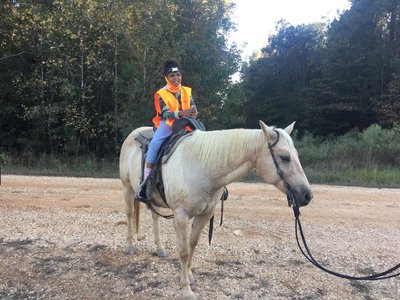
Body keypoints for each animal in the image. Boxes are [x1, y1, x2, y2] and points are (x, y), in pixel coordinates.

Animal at [119, 120, 312, 300]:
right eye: (285, 157)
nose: (307, 195)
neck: (202, 167)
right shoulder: (181, 216)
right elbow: (183, 251)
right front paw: (186, 290)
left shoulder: (205, 214)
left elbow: (193, 244)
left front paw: (189, 275)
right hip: (127, 189)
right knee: (130, 214)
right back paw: (130, 246)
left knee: (154, 217)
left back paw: (159, 248)